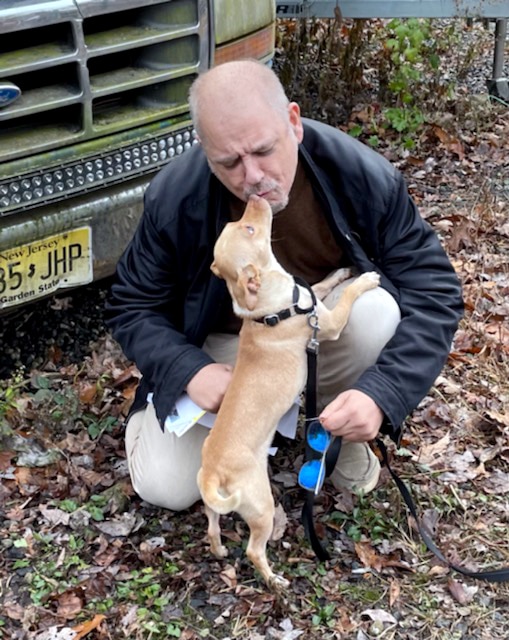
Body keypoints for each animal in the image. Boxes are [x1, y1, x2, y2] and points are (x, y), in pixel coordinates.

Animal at [196, 195, 380, 592]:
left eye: (241, 224)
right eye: (250, 228)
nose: (255, 197)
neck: (267, 307)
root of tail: (213, 473)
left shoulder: (312, 298)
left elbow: (321, 285)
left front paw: (342, 272)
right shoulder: (330, 324)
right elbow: (347, 299)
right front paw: (364, 279)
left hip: (214, 508)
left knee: (212, 527)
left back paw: (219, 550)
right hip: (262, 509)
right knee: (254, 550)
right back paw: (275, 580)